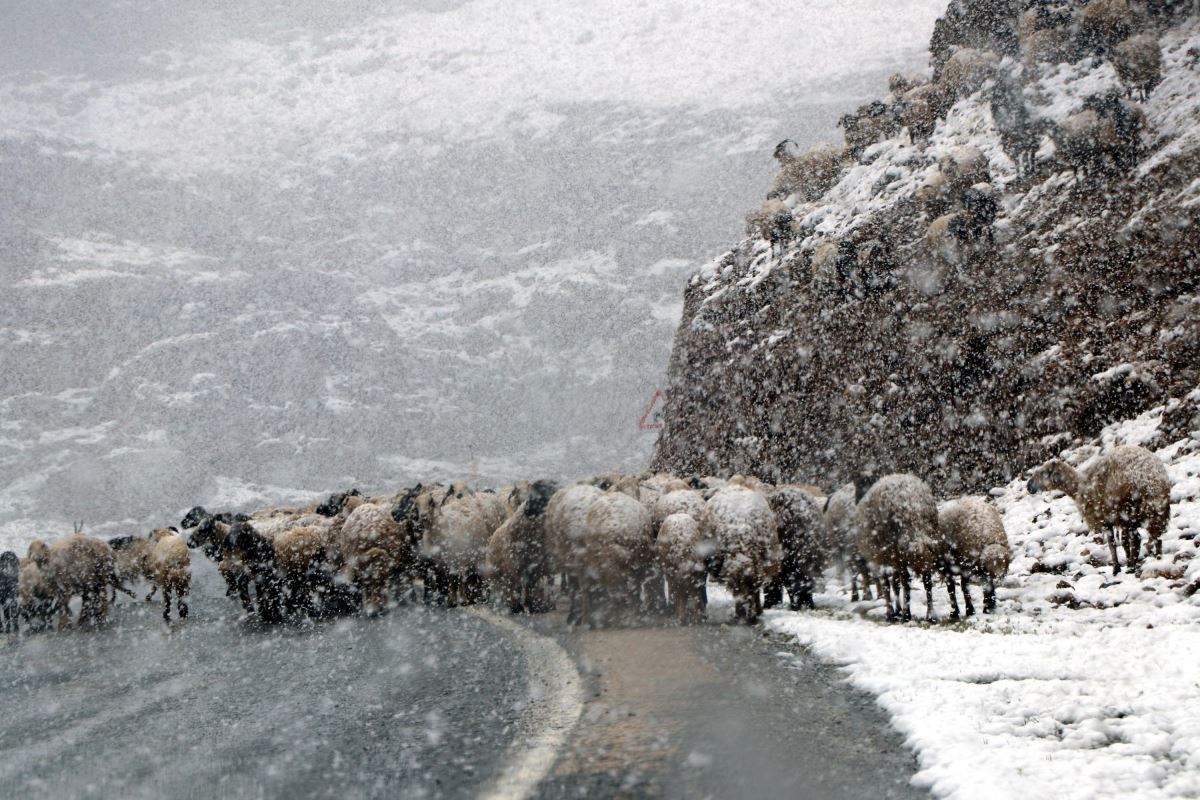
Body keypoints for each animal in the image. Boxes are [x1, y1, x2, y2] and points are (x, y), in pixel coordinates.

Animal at [1027, 443, 1166, 575]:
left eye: (1042, 472)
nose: (1028, 486)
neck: (1078, 486)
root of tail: (1150, 477)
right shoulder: (1118, 521)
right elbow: (1124, 543)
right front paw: (1126, 562)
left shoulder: (1106, 519)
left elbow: (1112, 543)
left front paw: (1117, 568)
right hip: (1157, 511)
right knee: (1157, 537)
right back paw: (1158, 560)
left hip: (1131, 511)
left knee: (1137, 538)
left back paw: (1134, 567)